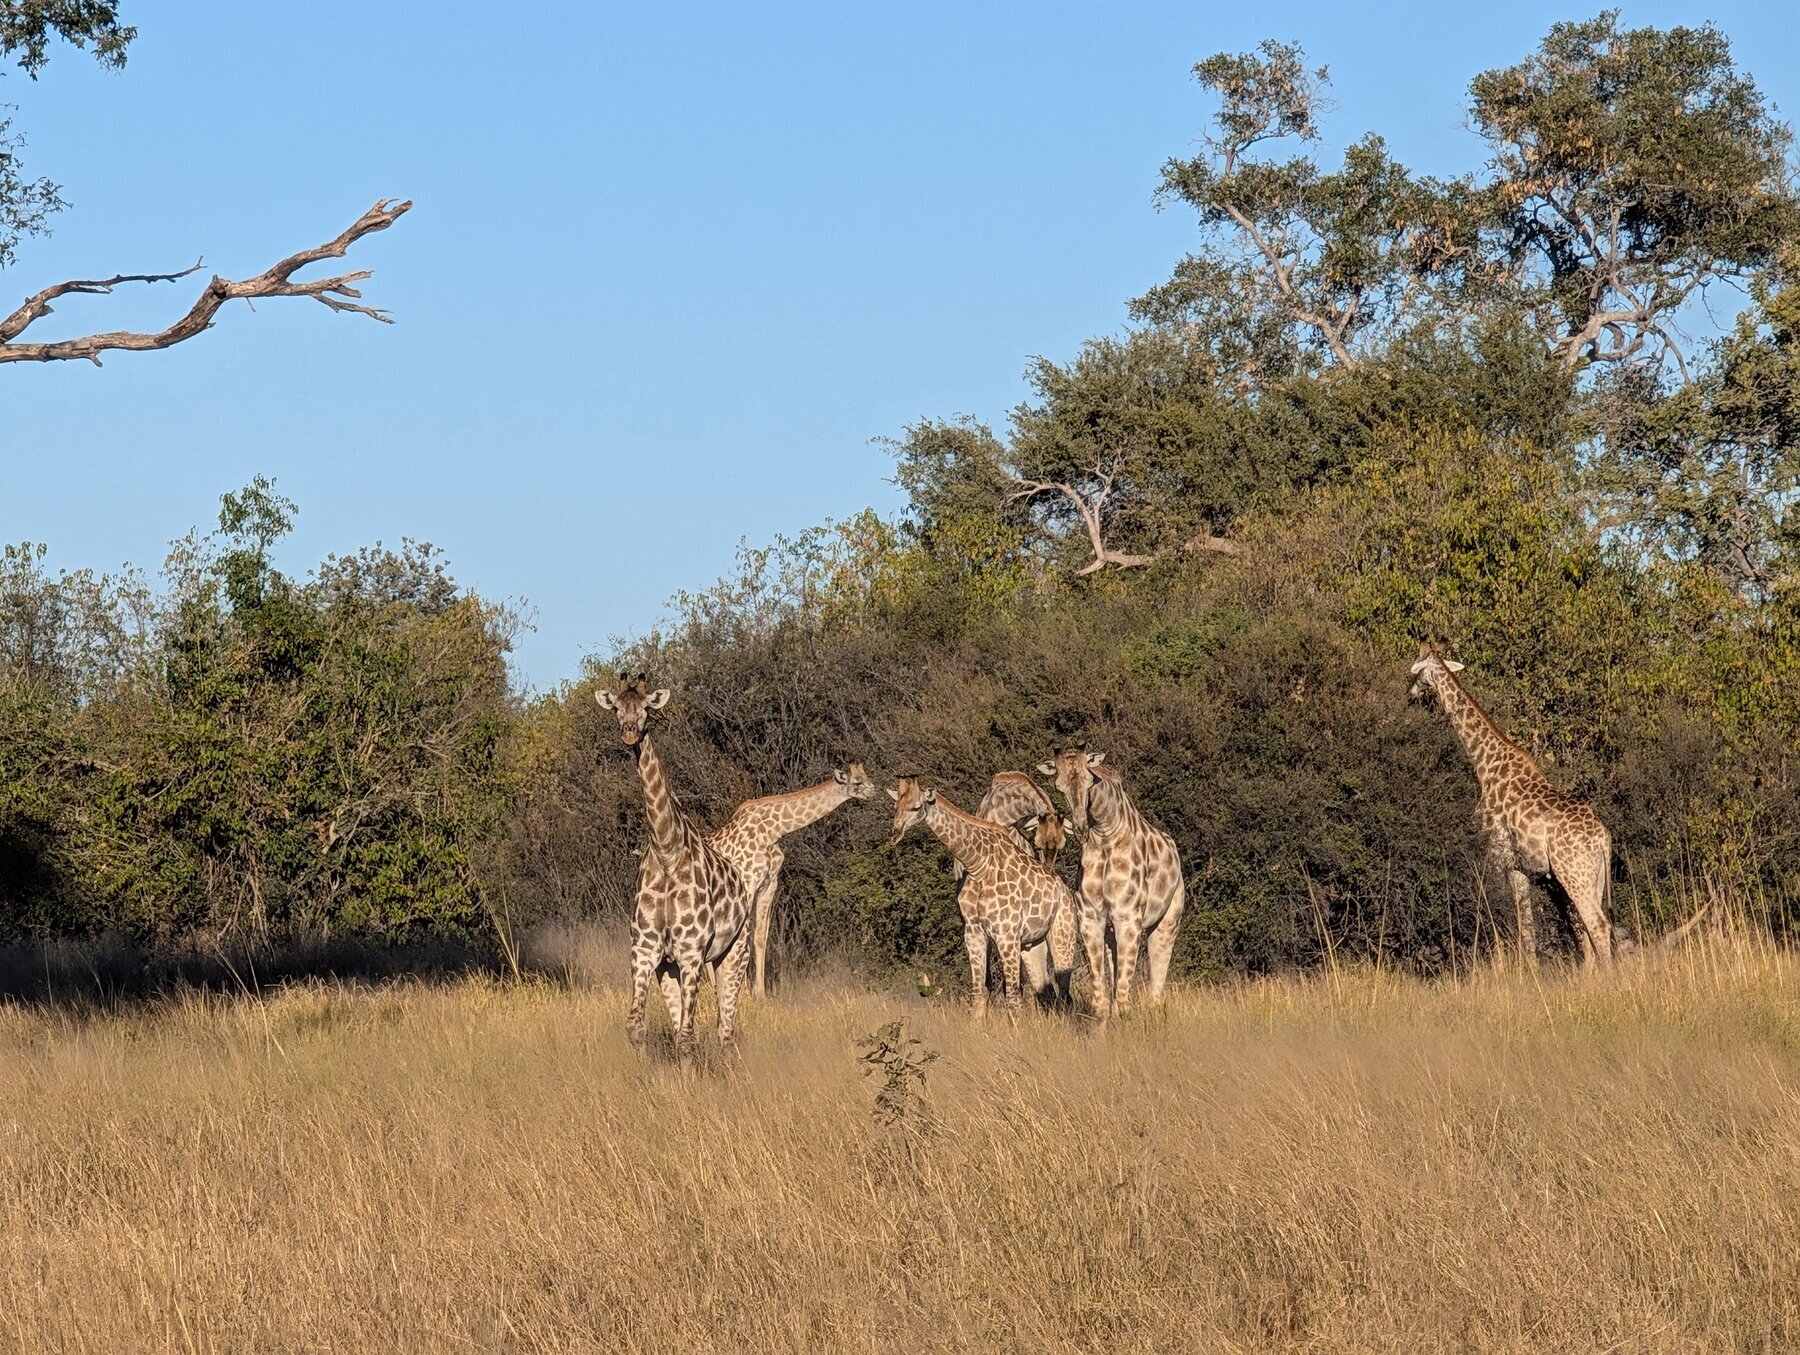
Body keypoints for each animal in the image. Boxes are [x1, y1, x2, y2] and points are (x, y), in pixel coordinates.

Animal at [596, 674, 756, 1062]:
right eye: (617, 707)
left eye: (646, 708)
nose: (629, 734)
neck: (667, 850)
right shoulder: (645, 951)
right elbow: (637, 1029)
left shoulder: (691, 952)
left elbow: (687, 1040)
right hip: (668, 968)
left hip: (734, 954)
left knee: (725, 1031)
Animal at [705, 763, 877, 996]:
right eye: (857, 782)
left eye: (867, 776)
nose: (875, 791)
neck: (772, 831)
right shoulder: (748, 882)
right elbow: (741, 936)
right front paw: (742, 991)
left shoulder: (769, 884)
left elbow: (760, 936)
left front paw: (760, 993)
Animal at [1040, 749, 1185, 1017]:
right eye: (1059, 786)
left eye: (1089, 780)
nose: (1080, 827)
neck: (1105, 836)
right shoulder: (1090, 917)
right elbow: (1100, 982)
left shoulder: (1128, 916)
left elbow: (1126, 978)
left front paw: (1123, 1018)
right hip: (1111, 931)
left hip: (1168, 919)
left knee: (1158, 970)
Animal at [1408, 644, 1615, 968]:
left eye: (1417, 668)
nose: (1411, 692)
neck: (1486, 766)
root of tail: (1603, 839)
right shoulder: (1520, 868)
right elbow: (1527, 928)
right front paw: (1528, 971)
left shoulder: (1494, 855)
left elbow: (1494, 913)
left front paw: (1499, 967)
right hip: (1594, 878)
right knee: (1586, 928)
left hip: (1574, 874)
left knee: (1597, 925)